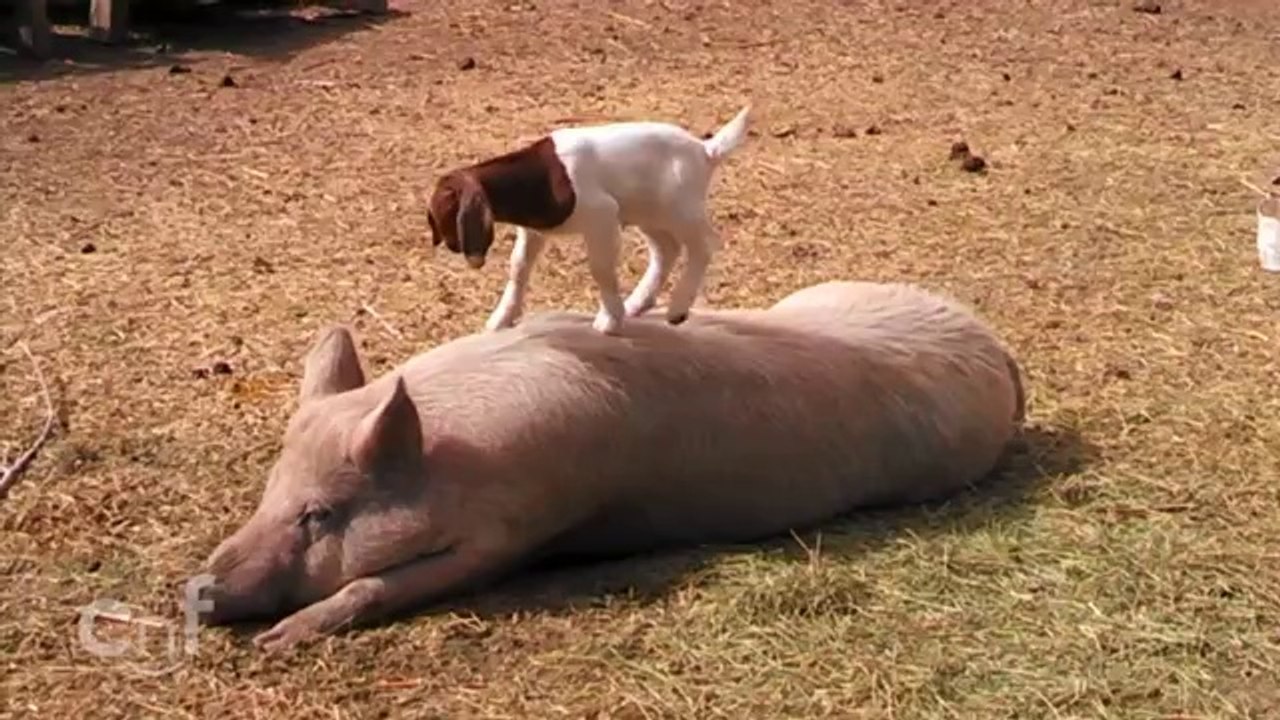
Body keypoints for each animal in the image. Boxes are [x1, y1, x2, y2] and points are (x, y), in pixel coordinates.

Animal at [193, 280, 1026, 652]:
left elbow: (380, 584)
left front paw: (278, 641)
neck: (456, 459)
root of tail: (997, 344)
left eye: (320, 514)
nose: (196, 591)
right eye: (271, 491)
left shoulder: (514, 529)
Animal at [427, 105, 753, 335]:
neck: (543, 175)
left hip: (680, 208)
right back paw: (638, 303)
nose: (451, 245)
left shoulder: (602, 215)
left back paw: (676, 309)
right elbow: (518, 268)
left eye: (447, 207)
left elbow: (601, 270)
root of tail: (705, 150)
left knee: (703, 246)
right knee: (666, 249)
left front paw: (610, 320)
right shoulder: (533, 231)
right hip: (647, 212)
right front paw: (501, 319)